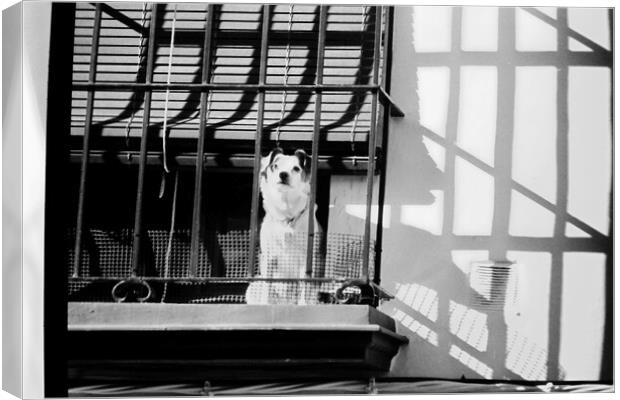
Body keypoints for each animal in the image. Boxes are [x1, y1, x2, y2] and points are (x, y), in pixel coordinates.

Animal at [246, 148, 324, 304]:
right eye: (275, 166)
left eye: (296, 168)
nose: (283, 174)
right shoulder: (269, 256)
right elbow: (267, 284)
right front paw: (264, 303)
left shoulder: (305, 258)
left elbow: (304, 284)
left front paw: (303, 305)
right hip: (254, 286)